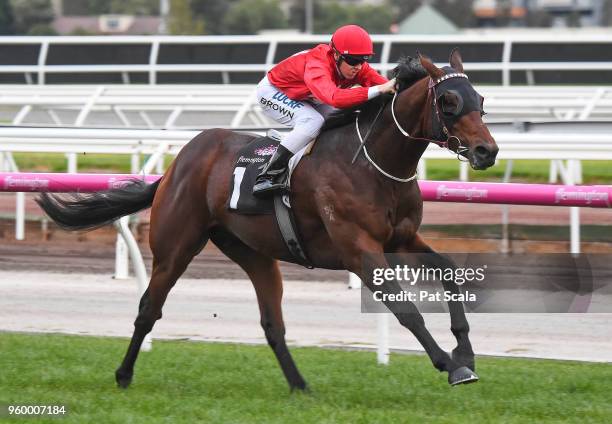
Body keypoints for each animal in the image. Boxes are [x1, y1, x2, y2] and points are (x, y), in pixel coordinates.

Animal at [37, 49, 498, 390]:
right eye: (448, 102)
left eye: (481, 101)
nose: (487, 151)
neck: (371, 162)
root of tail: (175, 166)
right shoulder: (359, 250)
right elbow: (407, 310)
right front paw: (450, 364)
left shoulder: (399, 240)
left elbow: (450, 273)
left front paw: (466, 352)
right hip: (176, 246)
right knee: (149, 307)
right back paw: (123, 374)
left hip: (255, 253)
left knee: (272, 323)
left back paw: (300, 386)